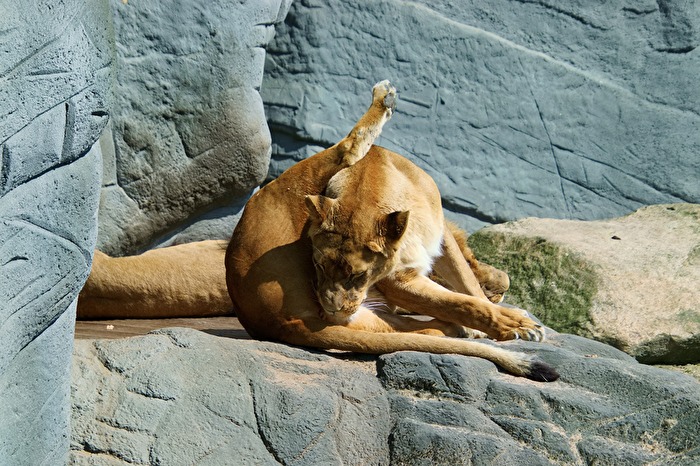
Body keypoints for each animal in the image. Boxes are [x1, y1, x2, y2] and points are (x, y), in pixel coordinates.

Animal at [225, 81, 558, 381]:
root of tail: (281, 323)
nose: (332, 310)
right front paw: (516, 325)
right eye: (316, 265)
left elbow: (468, 286)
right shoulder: (398, 280)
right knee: (348, 148)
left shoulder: (442, 239)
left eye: (359, 275)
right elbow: (460, 302)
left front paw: (509, 319)